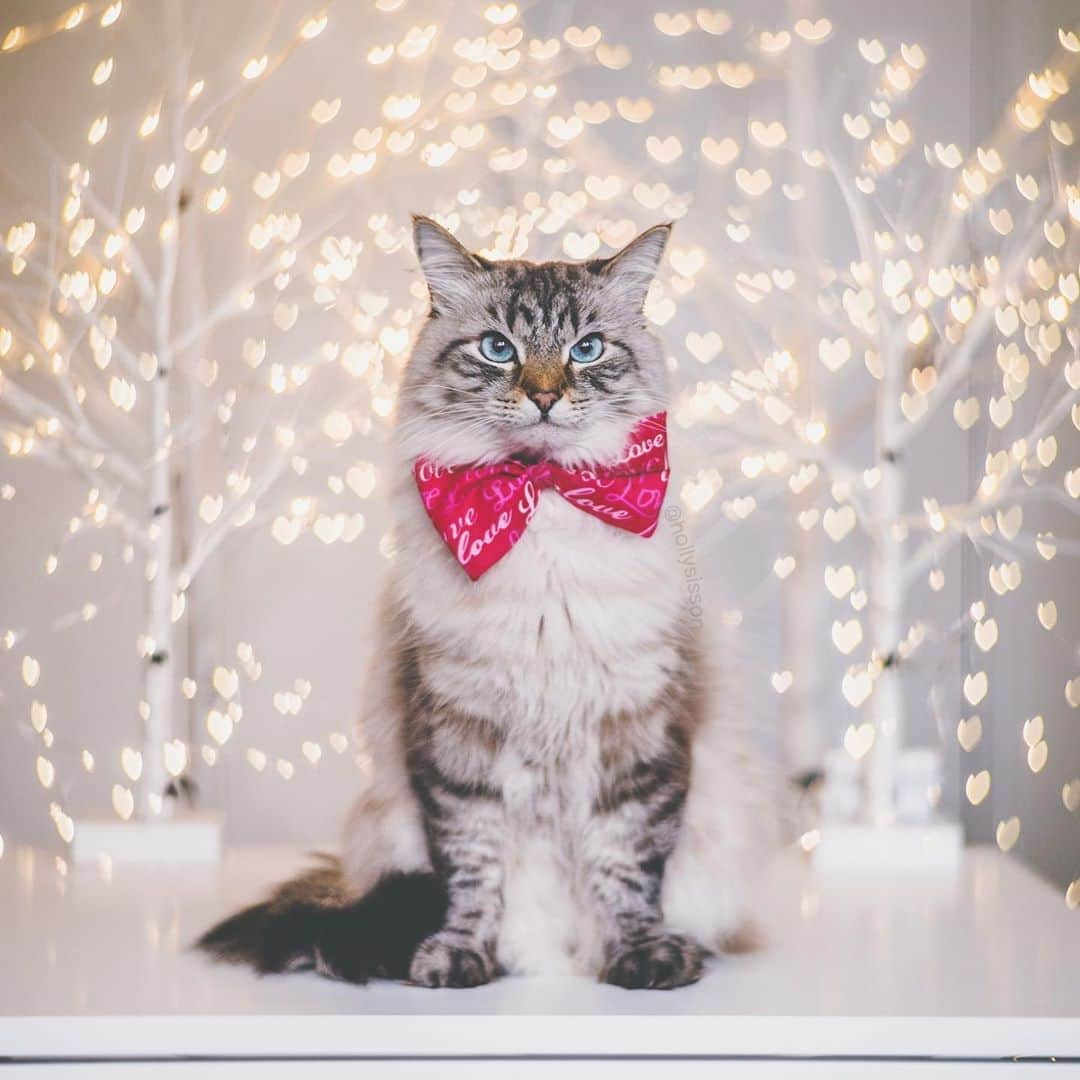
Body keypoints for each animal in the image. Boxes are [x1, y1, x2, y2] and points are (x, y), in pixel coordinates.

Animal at [198, 214, 777, 989]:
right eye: (498, 348)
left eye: (587, 349)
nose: (544, 396)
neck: (540, 502)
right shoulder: (458, 738)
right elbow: (472, 875)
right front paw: (457, 958)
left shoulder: (636, 736)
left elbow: (625, 870)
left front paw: (641, 958)